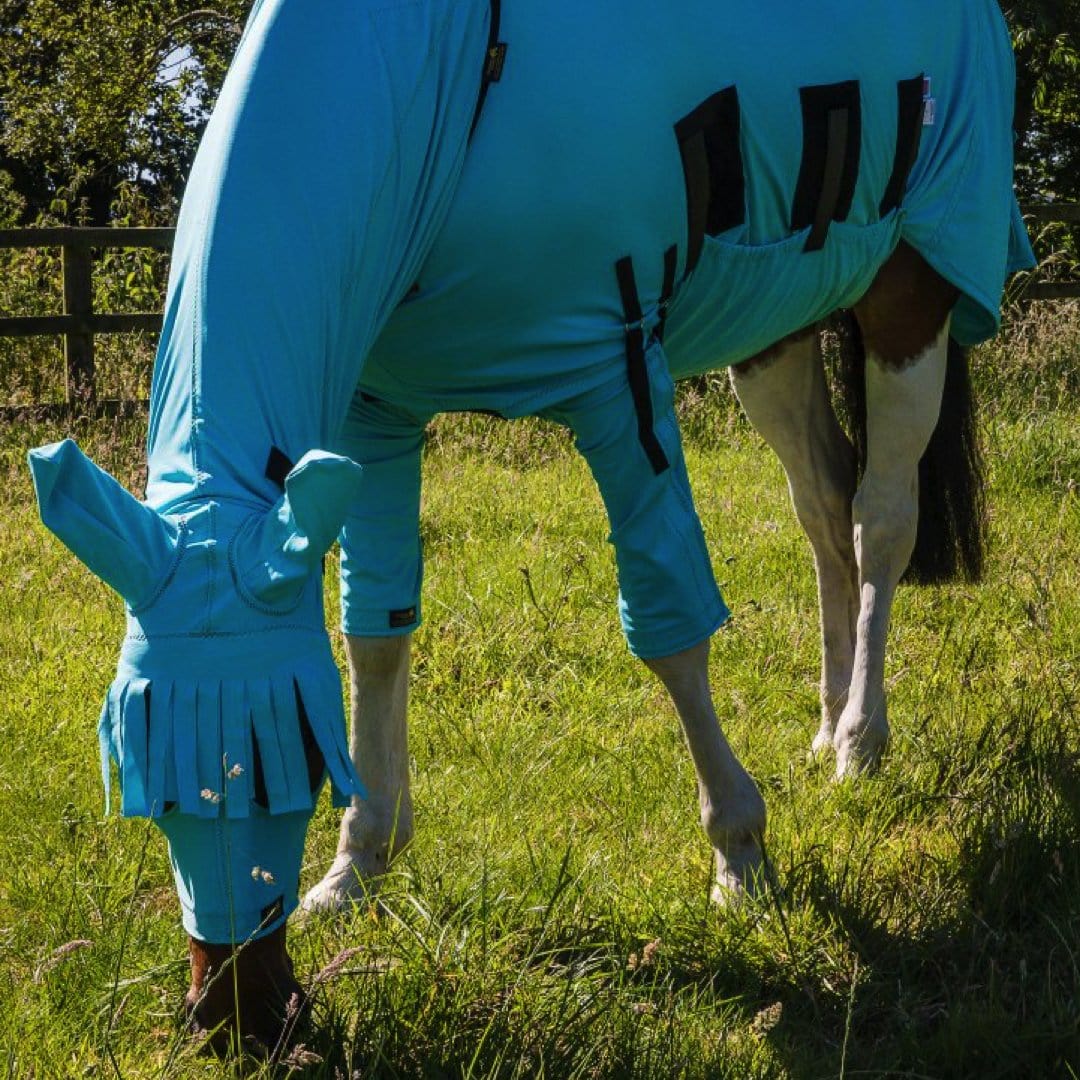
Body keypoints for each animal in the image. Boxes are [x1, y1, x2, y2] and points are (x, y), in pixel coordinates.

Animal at [29, 0, 1033, 1057]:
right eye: (143, 782)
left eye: (284, 764)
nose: (240, 1028)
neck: (444, 80)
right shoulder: (376, 420)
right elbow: (374, 635)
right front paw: (355, 873)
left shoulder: (617, 378)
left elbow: (671, 637)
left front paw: (741, 860)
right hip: (776, 328)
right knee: (824, 508)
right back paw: (827, 722)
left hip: (910, 297)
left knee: (881, 522)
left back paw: (860, 745)